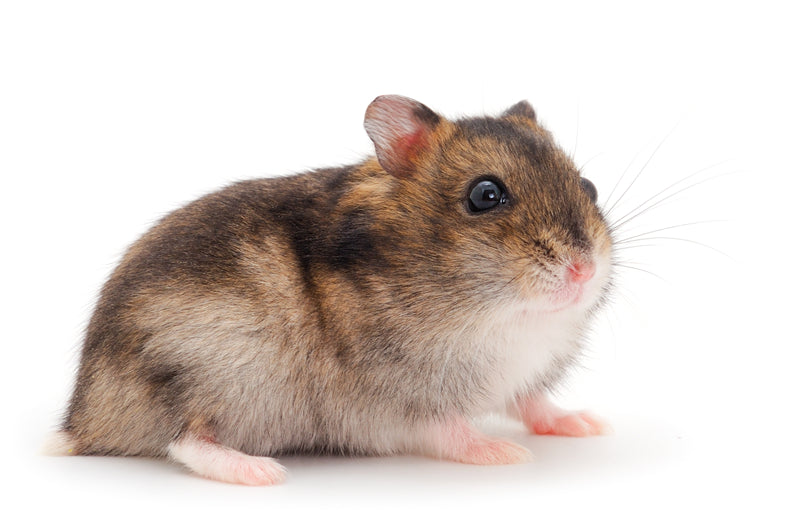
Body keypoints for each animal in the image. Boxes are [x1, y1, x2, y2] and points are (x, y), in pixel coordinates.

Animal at [47, 95, 613, 485]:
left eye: (588, 187)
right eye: (485, 195)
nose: (584, 270)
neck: (503, 317)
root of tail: (83, 421)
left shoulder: (520, 377)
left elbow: (533, 402)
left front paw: (587, 424)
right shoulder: (397, 403)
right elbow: (449, 429)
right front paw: (508, 454)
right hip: (212, 374)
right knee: (185, 439)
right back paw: (261, 472)